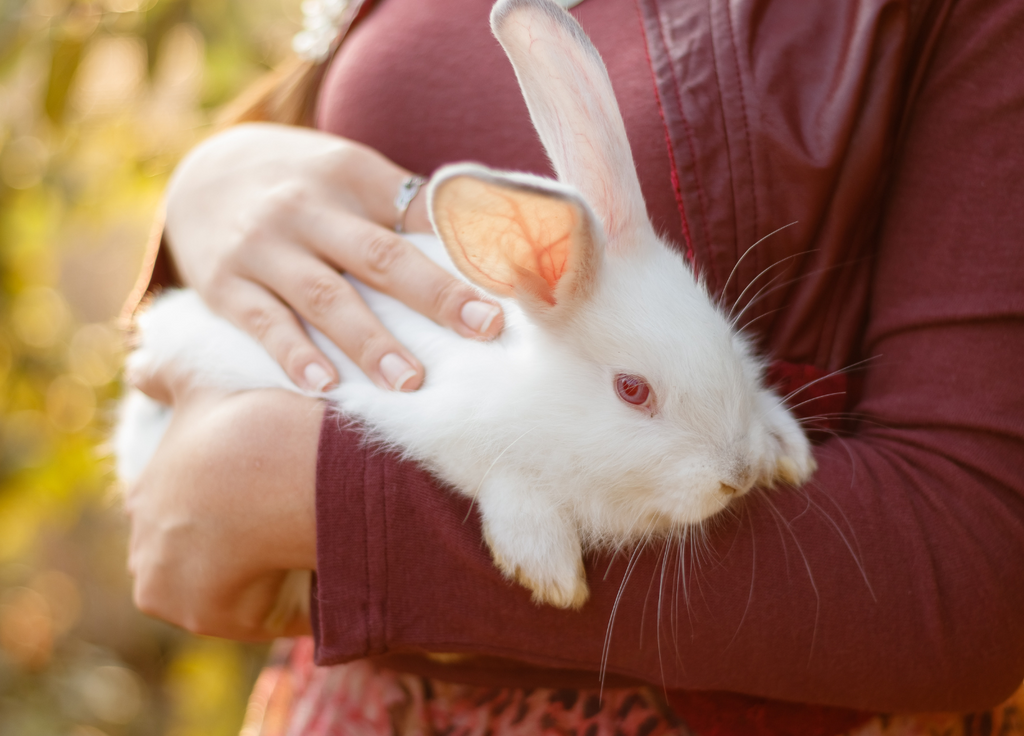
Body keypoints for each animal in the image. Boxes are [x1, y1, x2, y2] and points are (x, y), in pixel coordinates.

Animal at [114, 0, 815, 618]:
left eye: (727, 340)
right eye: (632, 390)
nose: (736, 475)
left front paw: (789, 451)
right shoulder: (436, 421)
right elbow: (504, 482)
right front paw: (548, 571)